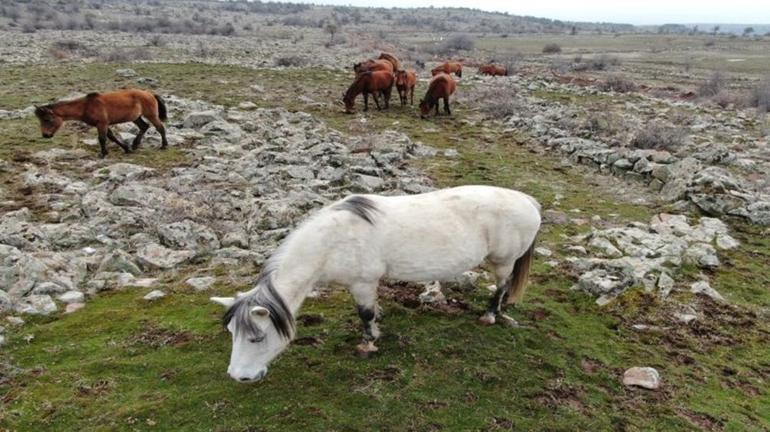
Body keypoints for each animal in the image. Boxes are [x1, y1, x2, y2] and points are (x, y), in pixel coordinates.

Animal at [35, 88, 168, 158]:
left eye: (47, 119)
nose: (45, 135)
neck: (86, 106)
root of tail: (150, 94)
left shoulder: (102, 123)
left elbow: (102, 139)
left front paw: (103, 153)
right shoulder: (104, 124)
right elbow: (111, 137)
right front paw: (126, 149)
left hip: (151, 115)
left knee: (160, 128)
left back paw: (164, 145)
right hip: (136, 117)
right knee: (144, 127)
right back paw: (135, 145)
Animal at [212, 185, 540, 382]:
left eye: (256, 338)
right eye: (231, 334)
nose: (239, 376)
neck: (334, 240)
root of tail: (528, 200)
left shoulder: (363, 283)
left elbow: (365, 314)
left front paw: (368, 343)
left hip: (504, 261)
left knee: (501, 286)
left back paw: (490, 315)